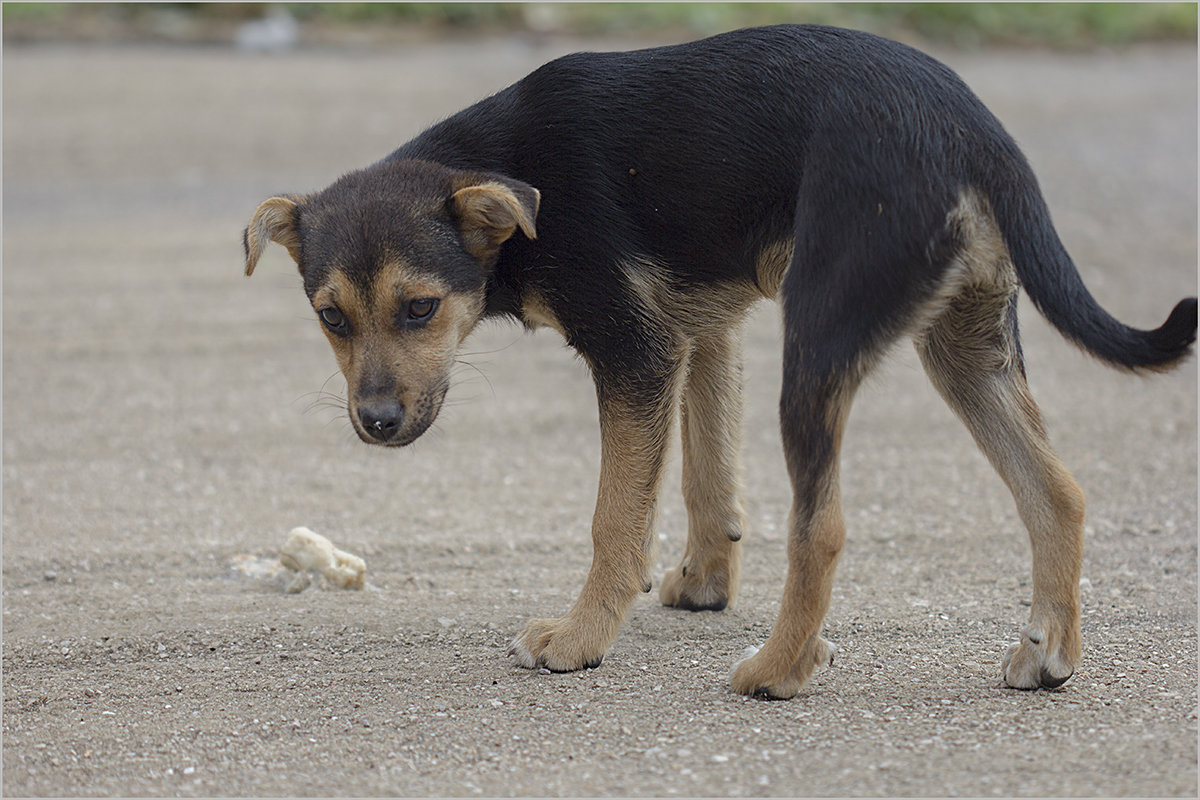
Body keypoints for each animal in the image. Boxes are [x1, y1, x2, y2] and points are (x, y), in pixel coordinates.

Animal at [241, 26, 1190, 700]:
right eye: (330, 318)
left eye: (420, 308)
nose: (376, 425)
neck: (514, 186)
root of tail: (978, 134)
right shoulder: (701, 332)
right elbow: (706, 473)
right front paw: (705, 581)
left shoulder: (636, 352)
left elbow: (615, 517)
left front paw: (581, 639)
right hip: (964, 346)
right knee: (1057, 491)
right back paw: (1049, 649)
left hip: (820, 342)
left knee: (823, 526)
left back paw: (780, 669)